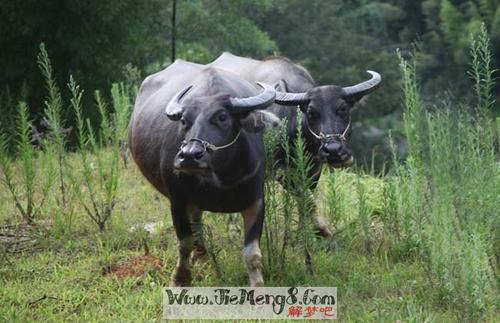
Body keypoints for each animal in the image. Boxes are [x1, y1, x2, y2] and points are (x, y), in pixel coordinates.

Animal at [128, 59, 282, 288]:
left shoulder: (256, 202)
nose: (189, 156)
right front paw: (180, 279)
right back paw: (200, 254)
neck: (222, 179)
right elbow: (184, 243)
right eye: (184, 120)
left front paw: (258, 287)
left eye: (222, 116)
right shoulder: (178, 201)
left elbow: (252, 254)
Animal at [209, 52, 380, 237]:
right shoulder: (280, 170)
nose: (334, 151)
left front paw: (304, 232)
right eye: (311, 112)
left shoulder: (314, 169)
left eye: (343, 109)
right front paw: (321, 229)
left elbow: (306, 199)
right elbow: (305, 197)